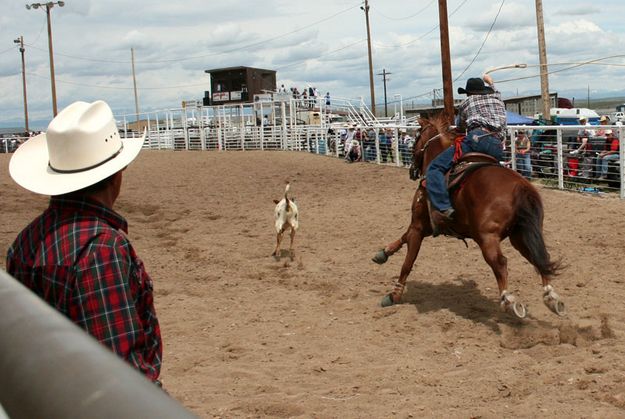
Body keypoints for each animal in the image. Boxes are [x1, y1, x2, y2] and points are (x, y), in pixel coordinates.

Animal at [372, 115, 564, 318]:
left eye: (416, 137)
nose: (411, 169)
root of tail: (520, 186)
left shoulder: (418, 225)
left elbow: (407, 262)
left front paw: (394, 295)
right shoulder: (427, 226)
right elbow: (404, 237)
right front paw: (382, 253)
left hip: (487, 237)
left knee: (500, 263)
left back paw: (508, 300)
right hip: (520, 235)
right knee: (539, 257)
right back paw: (551, 298)